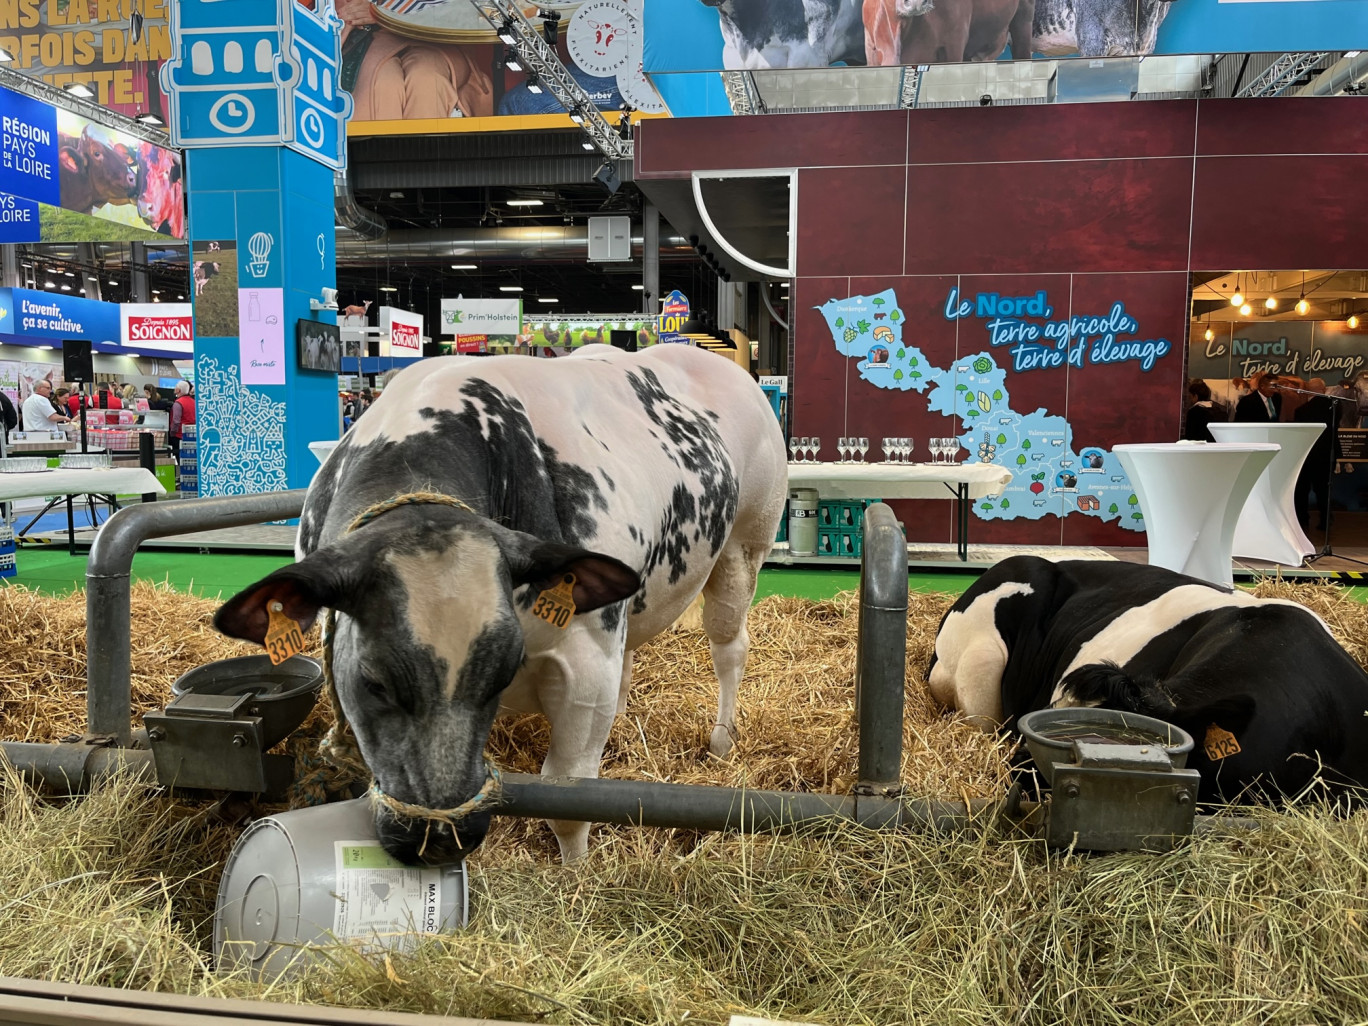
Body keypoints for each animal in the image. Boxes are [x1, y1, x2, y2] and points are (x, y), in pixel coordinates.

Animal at [217, 347, 787, 870]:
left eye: (505, 670)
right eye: (374, 682)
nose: (441, 839)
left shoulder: (585, 662)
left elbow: (570, 797)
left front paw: (577, 882)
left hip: (745, 545)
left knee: (730, 647)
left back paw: (721, 741)